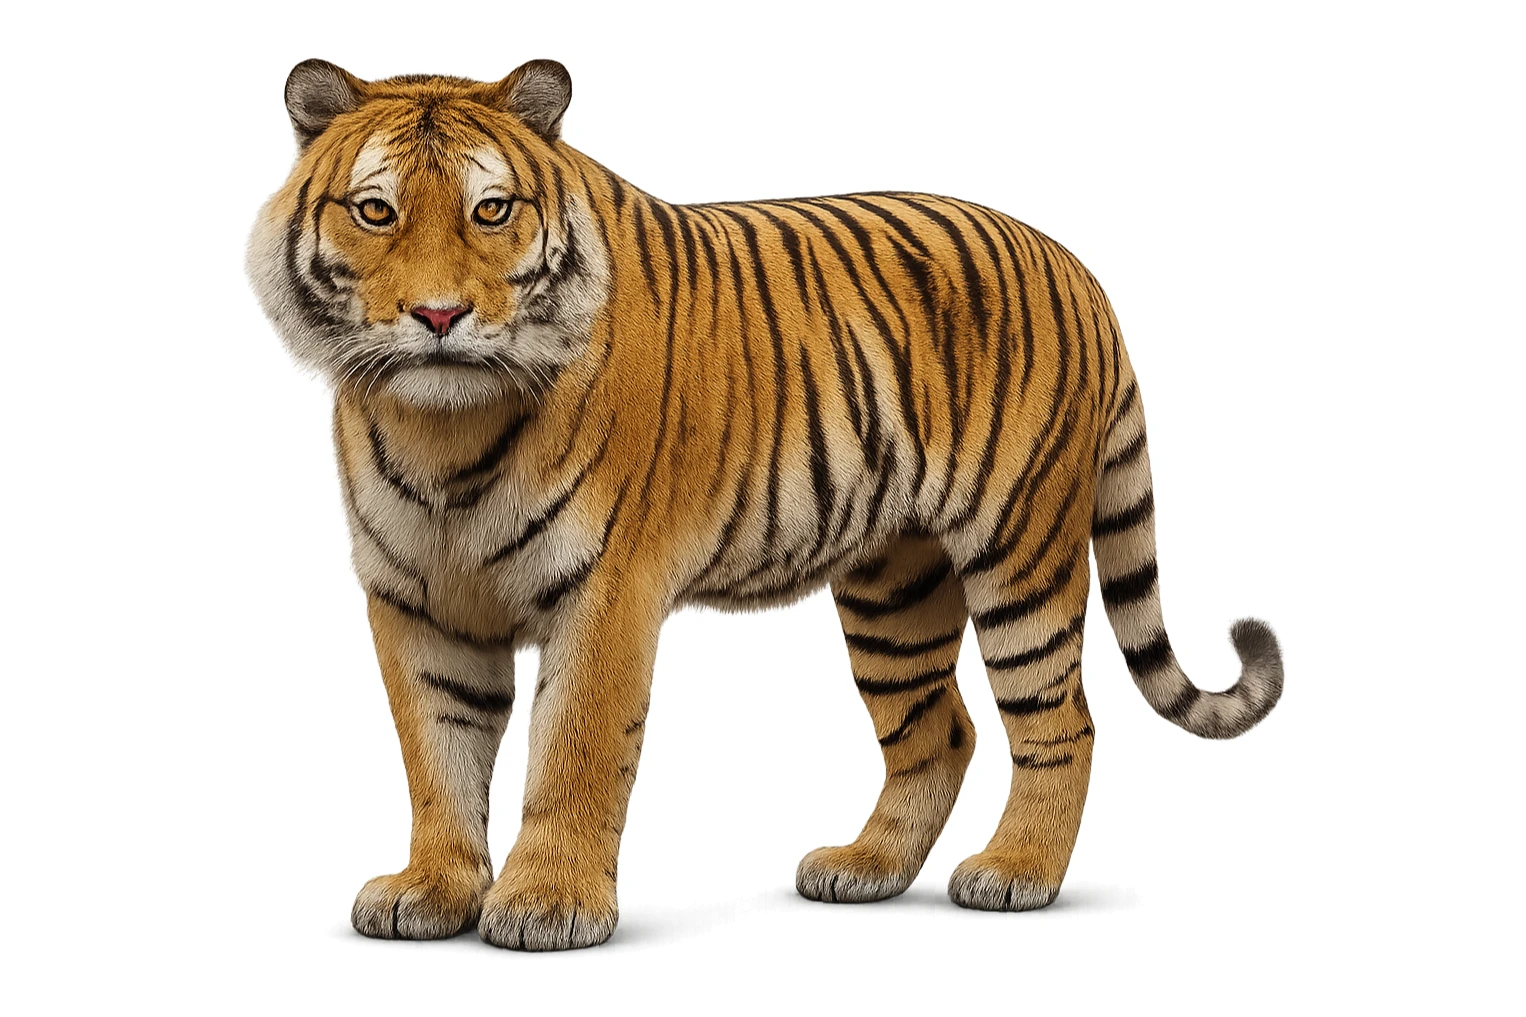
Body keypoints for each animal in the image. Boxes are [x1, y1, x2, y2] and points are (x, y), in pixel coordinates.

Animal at [246, 57, 1284, 952]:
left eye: (491, 210)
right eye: (375, 211)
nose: (438, 318)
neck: (442, 427)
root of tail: (1077, 261)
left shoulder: (605, 590)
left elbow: (575, 751)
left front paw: (547, 904)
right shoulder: (416, 599)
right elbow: (437, 754)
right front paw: (433, 890)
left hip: (1016, 548)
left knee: (1063, 720)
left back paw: (1015, 872)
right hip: (894, 586)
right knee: (939, 728)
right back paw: (865, 866)